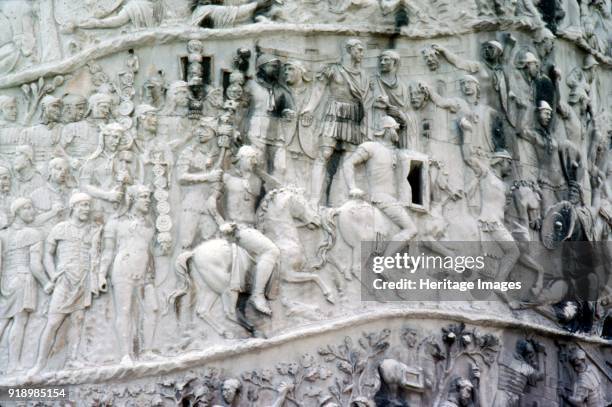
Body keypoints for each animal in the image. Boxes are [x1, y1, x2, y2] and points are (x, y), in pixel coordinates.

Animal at [167, 186, 330, 336]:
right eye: (302, 202)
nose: (317, 219)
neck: (282, 238)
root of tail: (194, 252)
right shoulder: (289, 274)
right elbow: (314, 276)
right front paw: (329, 295)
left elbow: (313, 276)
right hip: (226, 287)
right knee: (229, 312)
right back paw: (253, 327)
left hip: (210, 288)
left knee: (202, 311)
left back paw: (227, 333)